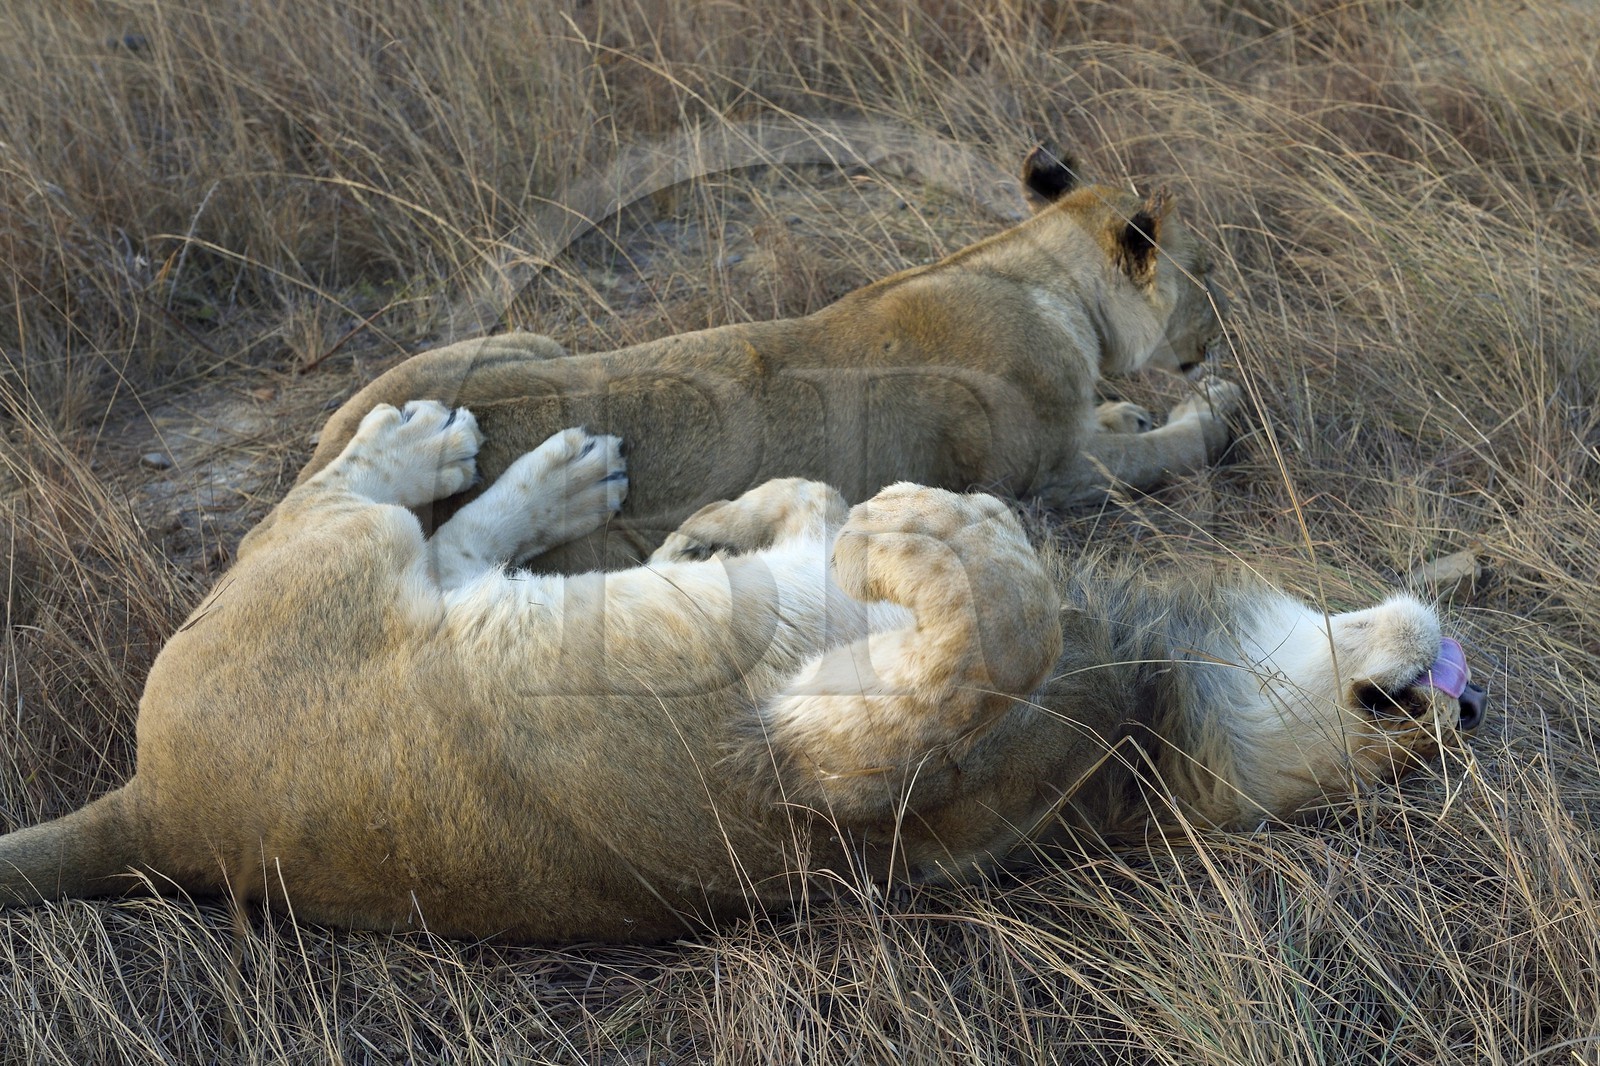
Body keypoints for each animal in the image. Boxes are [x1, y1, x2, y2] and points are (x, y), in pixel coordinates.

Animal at [0, 403, 1485, 943]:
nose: (1472, 701)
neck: (1165, 700)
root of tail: (159, 815)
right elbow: (809, 500)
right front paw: (721, 533)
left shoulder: (843, 749)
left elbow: (990, 618)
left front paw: (927, 523)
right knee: (453, 546)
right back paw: (569, 475)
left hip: (320, 573)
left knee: (340, 502)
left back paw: (436, 441)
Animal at [276, 147, 1242, 573]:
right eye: (1210, 271)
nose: (1218, 333)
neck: (1036, 275)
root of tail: (316, 464)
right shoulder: (1045, 476)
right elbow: (1162, 451)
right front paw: (1213, 410)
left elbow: (1119, 423)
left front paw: (1129, 404)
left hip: (517, 343)